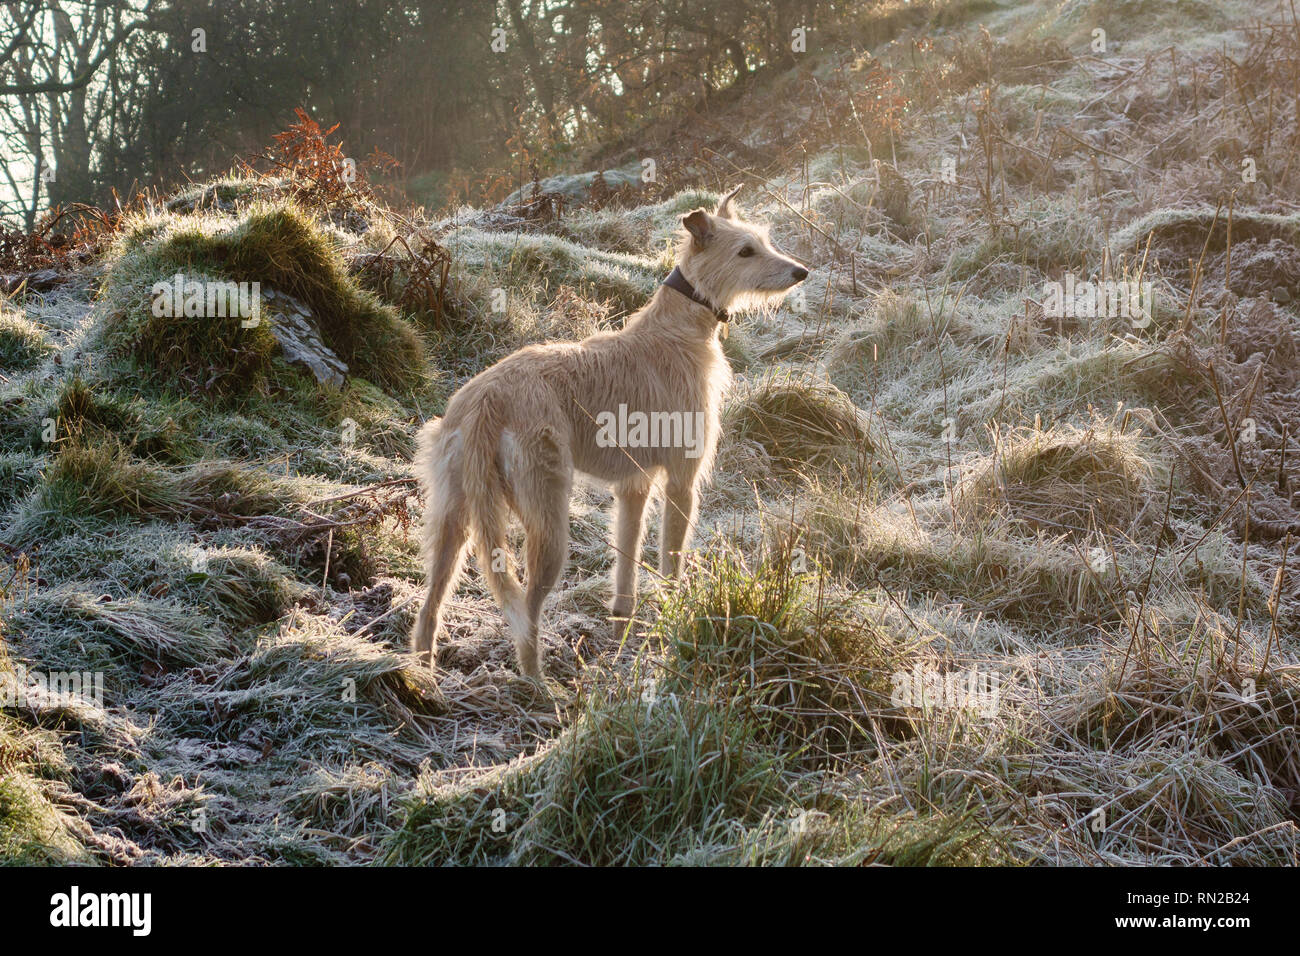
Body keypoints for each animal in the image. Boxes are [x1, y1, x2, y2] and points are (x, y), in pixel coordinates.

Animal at [410, 187, 806, 676]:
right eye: (745, 251)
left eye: (764, 241)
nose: (801, 272)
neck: (678, 326)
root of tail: (486, 399)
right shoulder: (682, 481)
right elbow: (671, 562)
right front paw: (675, 624)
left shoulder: (633, 487)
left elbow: (626, 568)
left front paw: (621, 633)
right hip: (548, 521)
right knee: (526, 615)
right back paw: (537, 683)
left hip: (454, 516)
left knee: (429, 606)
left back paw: (422, 676)